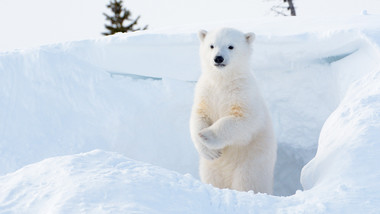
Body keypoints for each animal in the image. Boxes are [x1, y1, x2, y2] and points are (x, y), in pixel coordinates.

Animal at [189, 28, 276, 194]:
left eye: (231, 46)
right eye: (211, 45)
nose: (218, 58)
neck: (223, 81)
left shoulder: (243, 94)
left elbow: (243, 120)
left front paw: (206, 135)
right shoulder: (205, 92)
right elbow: (199, 116)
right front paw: (209, 150)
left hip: (250, 165)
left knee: (247, 183)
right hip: (210, 168)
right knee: (213, 178)